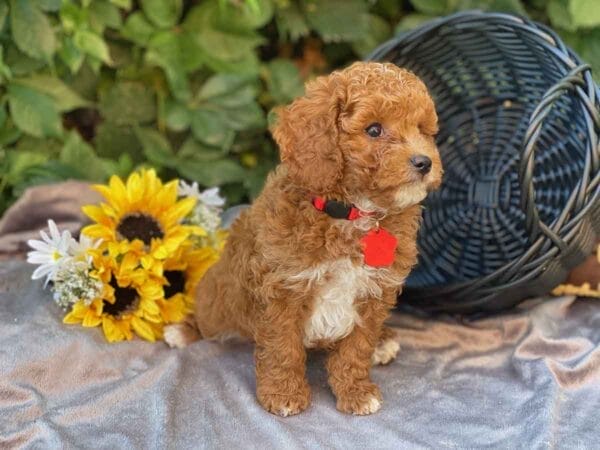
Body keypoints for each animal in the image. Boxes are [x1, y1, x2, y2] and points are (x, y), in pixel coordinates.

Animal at [166, 61, 442, 416]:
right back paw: (182, 330)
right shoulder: (283, 289)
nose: (424, 162)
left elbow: (357, 348)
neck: (352, 212)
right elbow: (283, 349)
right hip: (220, 301)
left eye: (422, 129)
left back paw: (384, 341)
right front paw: (284, 394)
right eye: (374, 130)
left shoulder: (374, 292)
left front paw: (356, 391)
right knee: (207, 316)